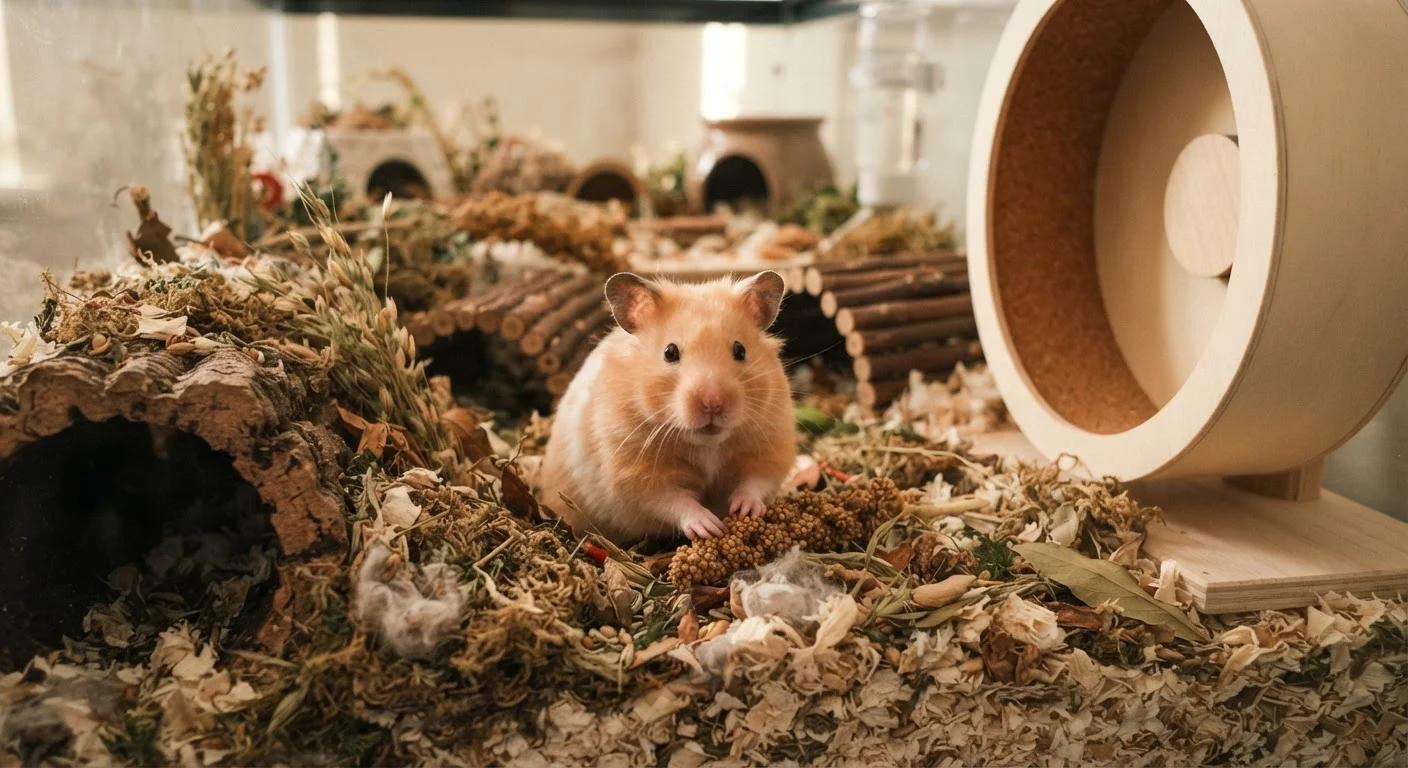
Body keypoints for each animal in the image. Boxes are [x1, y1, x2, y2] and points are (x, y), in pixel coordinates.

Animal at [538, 270, 796, 546]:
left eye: (740, 350)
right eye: (670, 352)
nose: (713, 403)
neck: (708, 444)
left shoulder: (771, 445)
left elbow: (756, 481)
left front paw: (745, 510)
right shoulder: (634, 474)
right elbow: (671, 500)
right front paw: (709, 526)